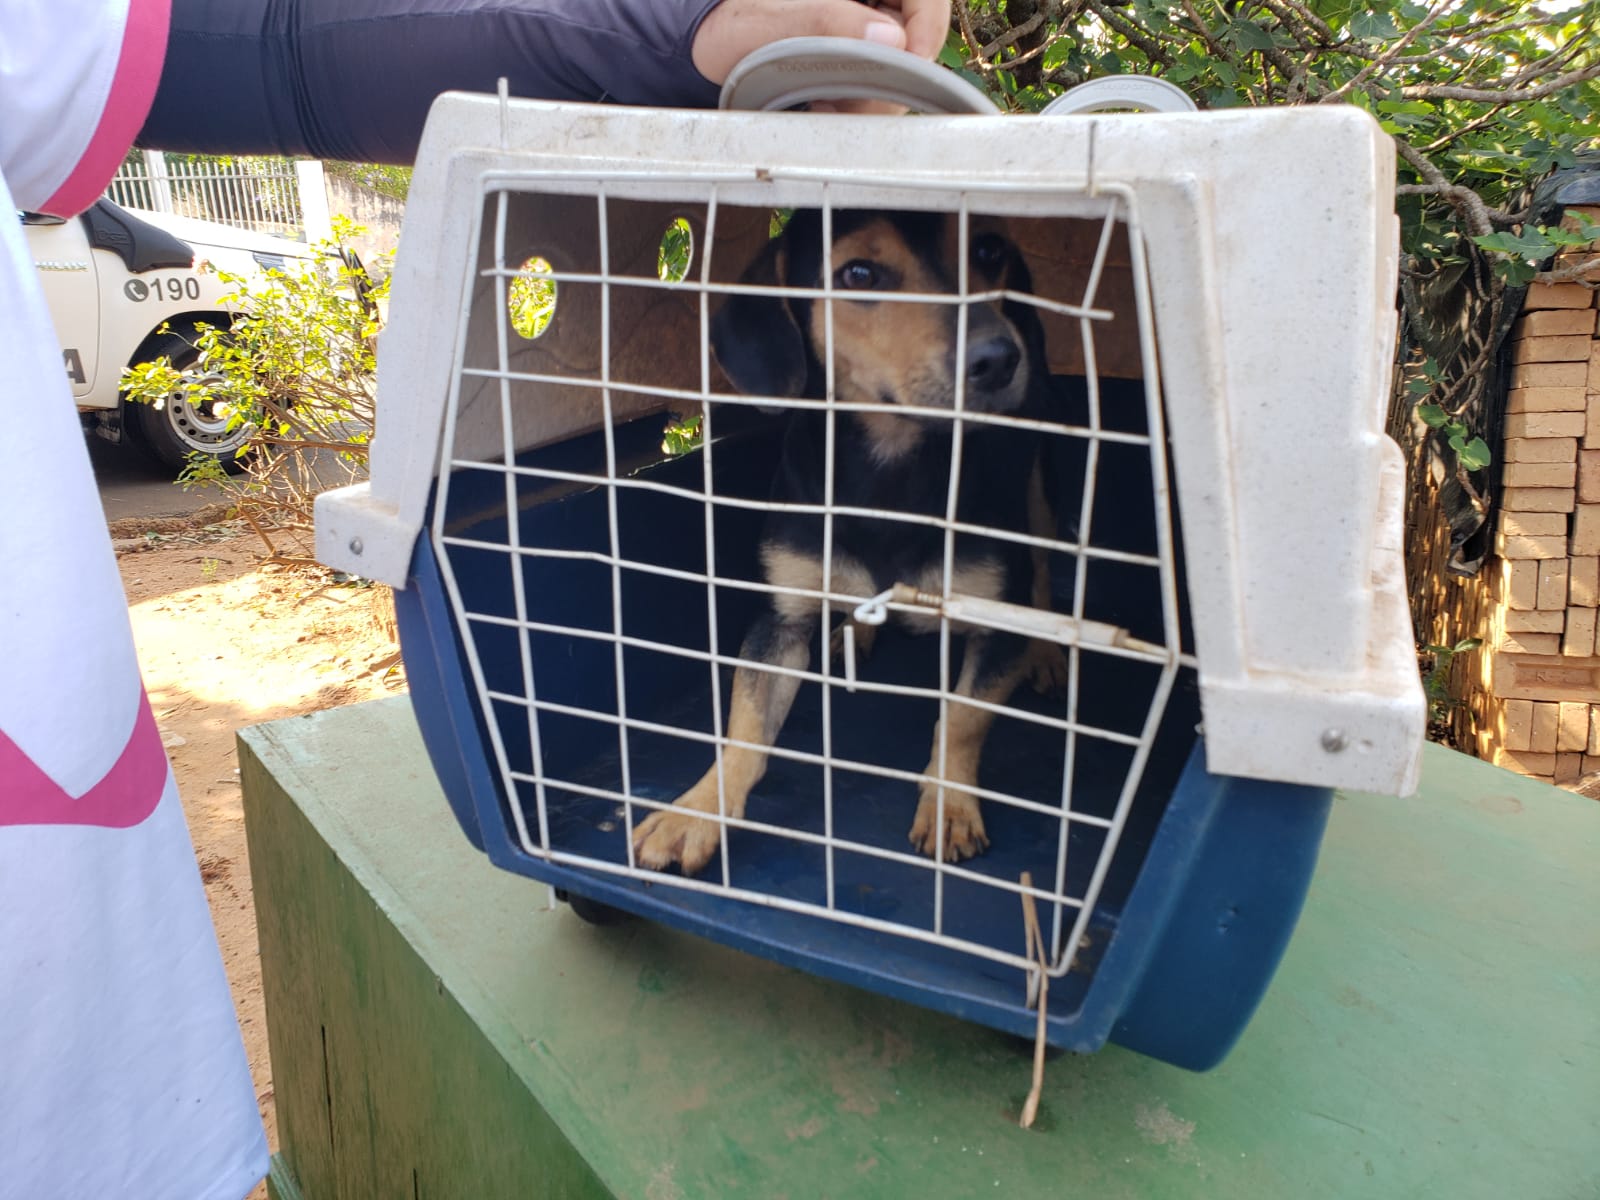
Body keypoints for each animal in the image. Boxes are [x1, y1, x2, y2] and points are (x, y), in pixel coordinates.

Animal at [630, 211, 1056, 876]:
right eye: (858, 273)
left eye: (987, 249)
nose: (1000, 358)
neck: (887, 469)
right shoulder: (777, 620)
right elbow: (745, 728)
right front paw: (698, 811)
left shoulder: (993, 622)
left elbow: (962, 719)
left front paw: (948, 806)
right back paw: (852, 631)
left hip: (1034, 490)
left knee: (1045, 562)